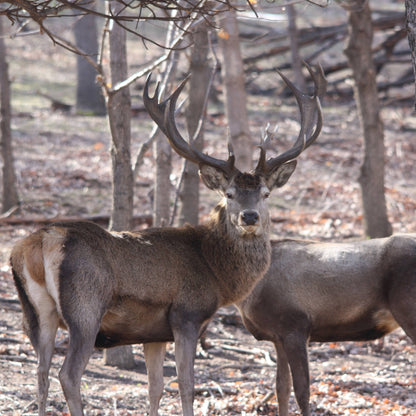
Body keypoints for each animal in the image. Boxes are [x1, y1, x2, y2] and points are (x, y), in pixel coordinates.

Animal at [9, 65, 324, 416]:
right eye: (229, 194)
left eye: (265, 193)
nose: (250, 216)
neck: (216, 273)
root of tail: (41, 241)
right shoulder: (187, 314)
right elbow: (186, 384)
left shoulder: (153, 332)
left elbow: (155, 387)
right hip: (85, 307)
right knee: (68, 374)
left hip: (36, 311)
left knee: (40, 372)